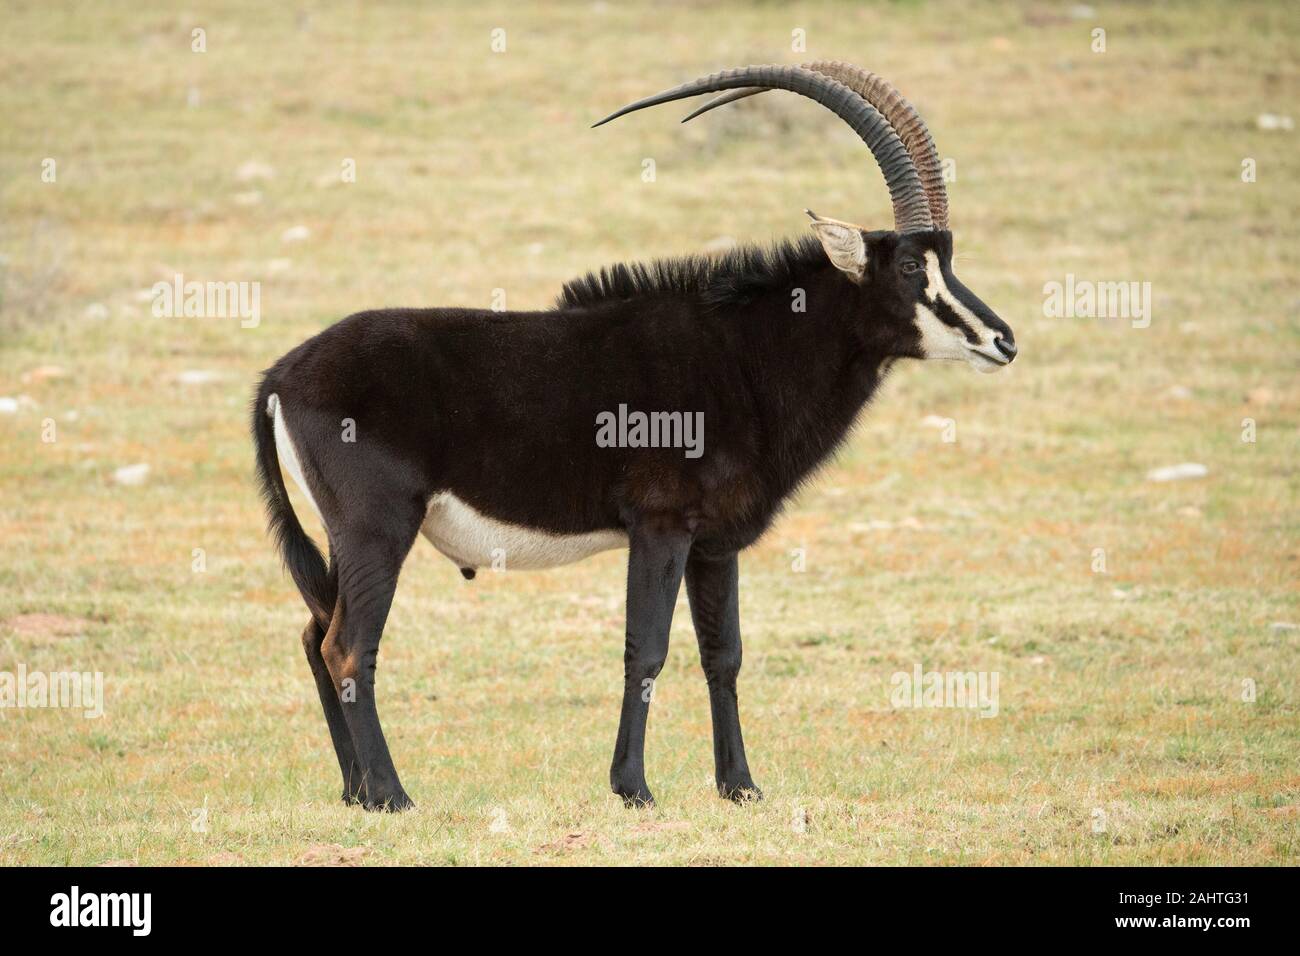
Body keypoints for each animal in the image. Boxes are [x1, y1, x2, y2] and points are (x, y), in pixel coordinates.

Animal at [253, 59, 1013, 811]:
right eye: (911, 267)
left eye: (948, 258)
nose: (1002, 340)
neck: (742, 352)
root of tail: (281, 375)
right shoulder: (660, 527)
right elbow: (645, 649)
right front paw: (633, 787)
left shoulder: (714, 544)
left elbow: (724, 654)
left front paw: (740, 785)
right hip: (378, 529)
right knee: (348, 645)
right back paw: (391, 794)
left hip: (342, 538)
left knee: (315, 634)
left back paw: (354, 791)